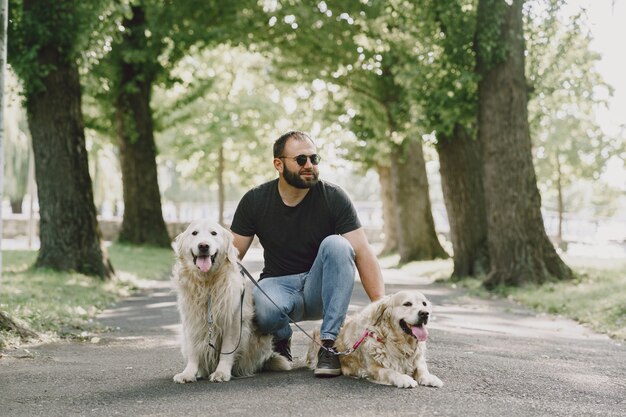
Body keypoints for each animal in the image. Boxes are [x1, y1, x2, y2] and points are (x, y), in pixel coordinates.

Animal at [304, 290, 442, 386]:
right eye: (407, 304)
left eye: (424, 304)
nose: (425, 313)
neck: (398, 343)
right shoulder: (372, 368)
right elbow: (390, 372)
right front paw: (403, 378)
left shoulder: (417, 358)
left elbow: (422, 368)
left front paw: (429, 377)